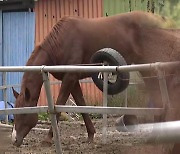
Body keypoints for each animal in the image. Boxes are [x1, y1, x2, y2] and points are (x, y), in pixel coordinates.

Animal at [10, 10, 180, 150]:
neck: (60, 43)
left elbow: (59, 104)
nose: (14, 140)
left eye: (23, 114)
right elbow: (81, 104)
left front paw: (47, 139)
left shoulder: (69, 79)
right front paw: (91, 135)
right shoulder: (72, 80)